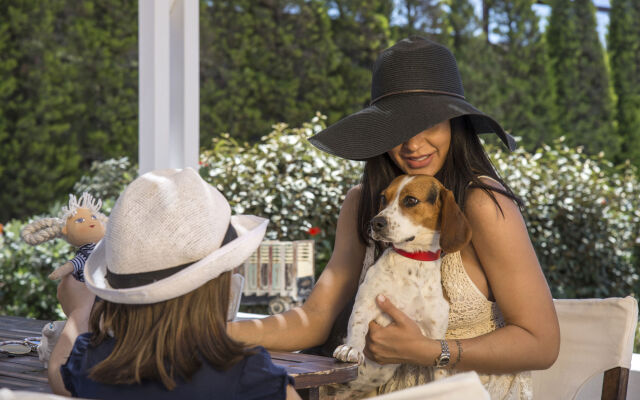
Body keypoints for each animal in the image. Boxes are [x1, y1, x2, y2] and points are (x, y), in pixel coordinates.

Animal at [332, 175, 472, 396]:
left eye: (411, 200)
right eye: (382, 198)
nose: (375, 222)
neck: (413, 262)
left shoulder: (434, 334)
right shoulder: (366, 301)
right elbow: (357, 324)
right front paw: (351, 348)